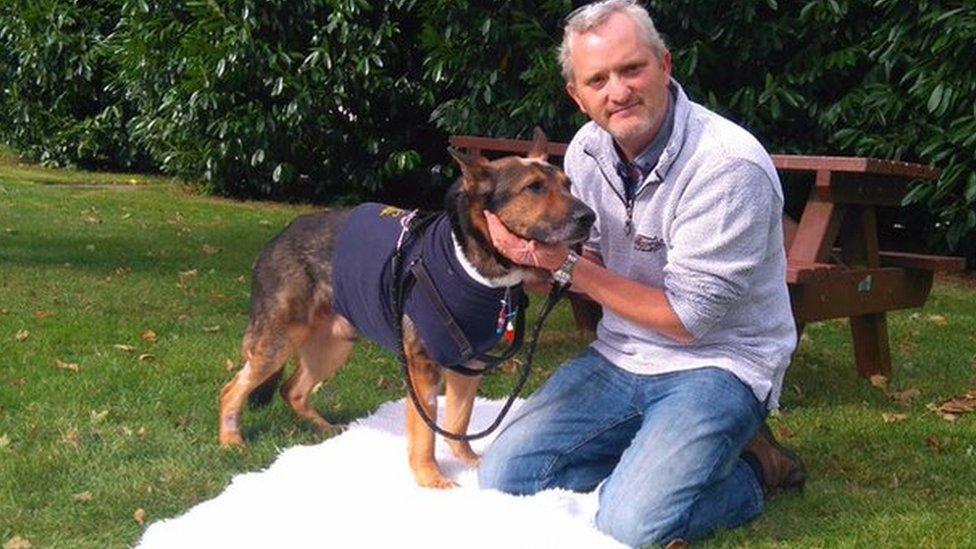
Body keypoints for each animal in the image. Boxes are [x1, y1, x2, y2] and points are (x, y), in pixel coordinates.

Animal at [218, 130, 596, 488]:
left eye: (567, 185)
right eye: (534, 188)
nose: (590, 217)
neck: (471, 262)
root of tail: (277, 238)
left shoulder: (468, 367)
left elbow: (458, 423)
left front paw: (468, 462)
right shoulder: (422, 370)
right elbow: (426, 435)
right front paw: (432, 480)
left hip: (332, 346)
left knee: (292, 390)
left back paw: (325, 429)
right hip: (280, 341)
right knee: (232, 390)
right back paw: (231, 441)